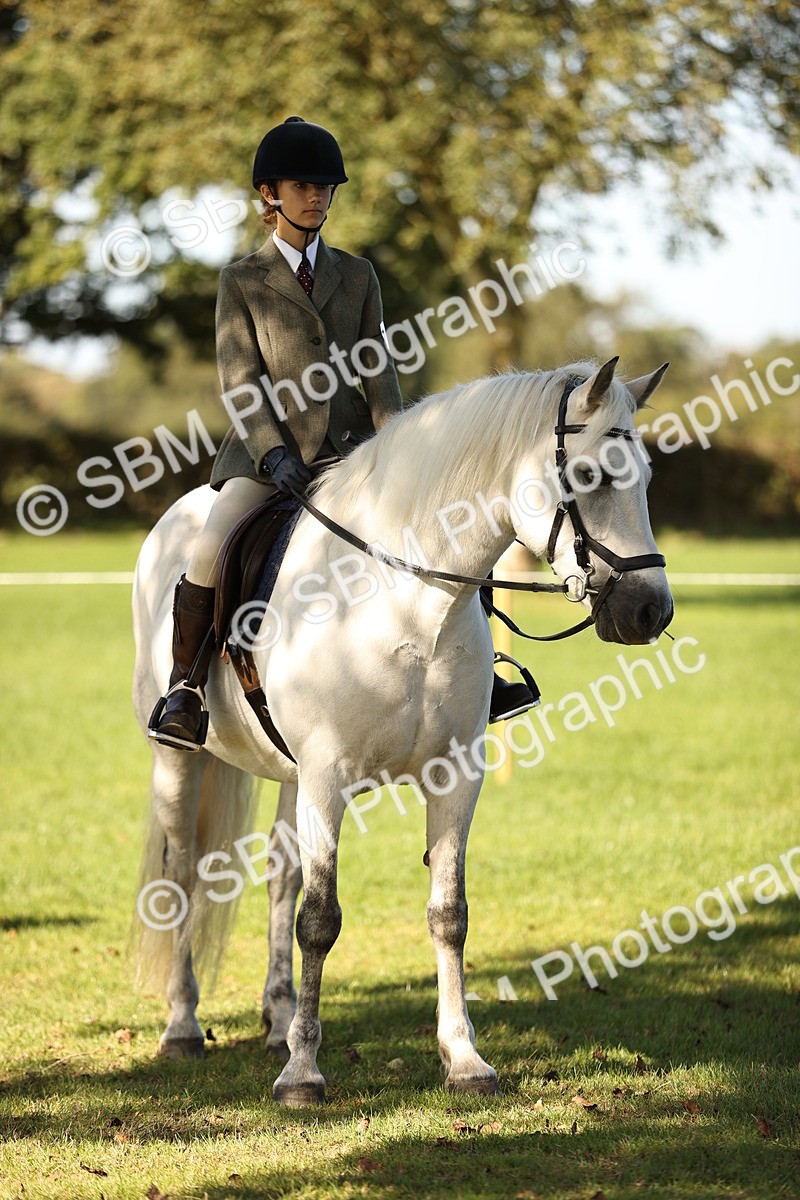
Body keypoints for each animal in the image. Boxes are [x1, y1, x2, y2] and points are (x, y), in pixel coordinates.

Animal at [131, 357, 673, 1105]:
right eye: (590, 475)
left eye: (646, 476)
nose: (651, 611)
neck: (409, 603)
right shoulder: (327, 777)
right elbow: (320, 919)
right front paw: (302, 1075)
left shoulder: (454, 777)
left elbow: (448, 913)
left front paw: (464, 1059)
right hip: (178, 760)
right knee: (182, 874)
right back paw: (183, 1028)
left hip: (288, 773)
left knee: (279, 876)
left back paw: (277, 1018)